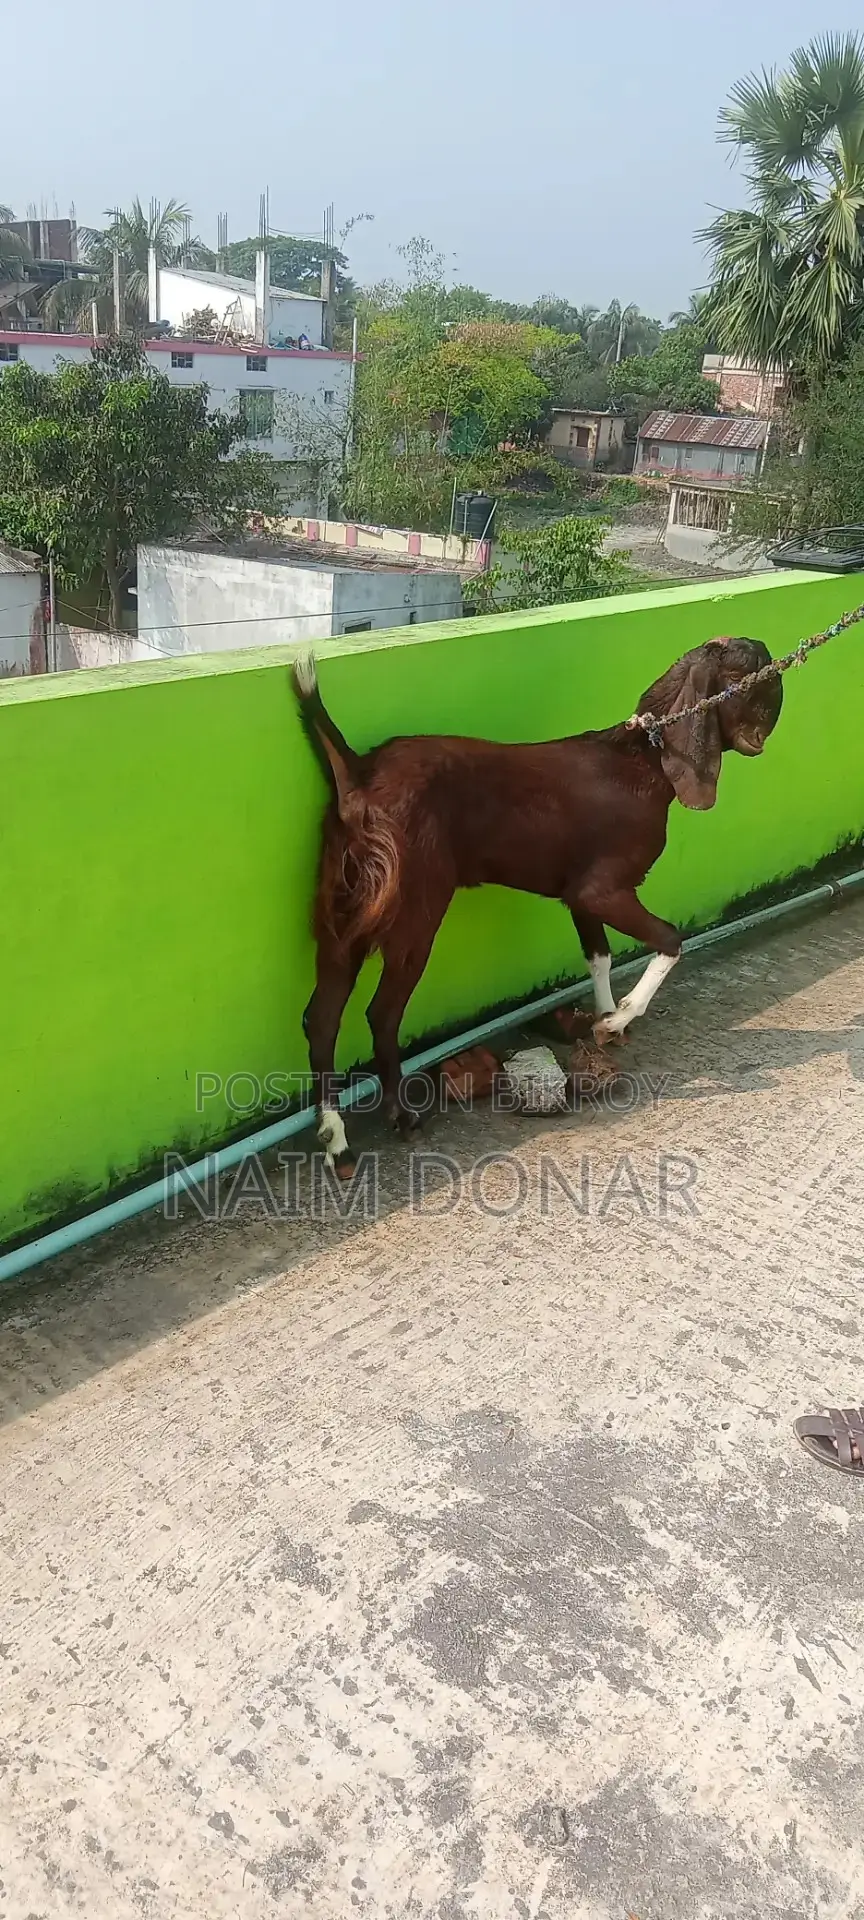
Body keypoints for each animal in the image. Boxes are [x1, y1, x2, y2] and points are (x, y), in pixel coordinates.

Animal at [294, 639, 783, 1173]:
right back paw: (398, 1117)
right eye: (756, 671)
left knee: (322, 1019)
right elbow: (671, 940)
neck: (644, 758)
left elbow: (599, 955)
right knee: (381, 1014)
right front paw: (619, 1016)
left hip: (342, 916)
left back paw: (336, 1139)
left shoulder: (579, 895)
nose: (773, 717)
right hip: (414, 912)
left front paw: (604, 1028)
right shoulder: (603, 890)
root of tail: (360, 776)